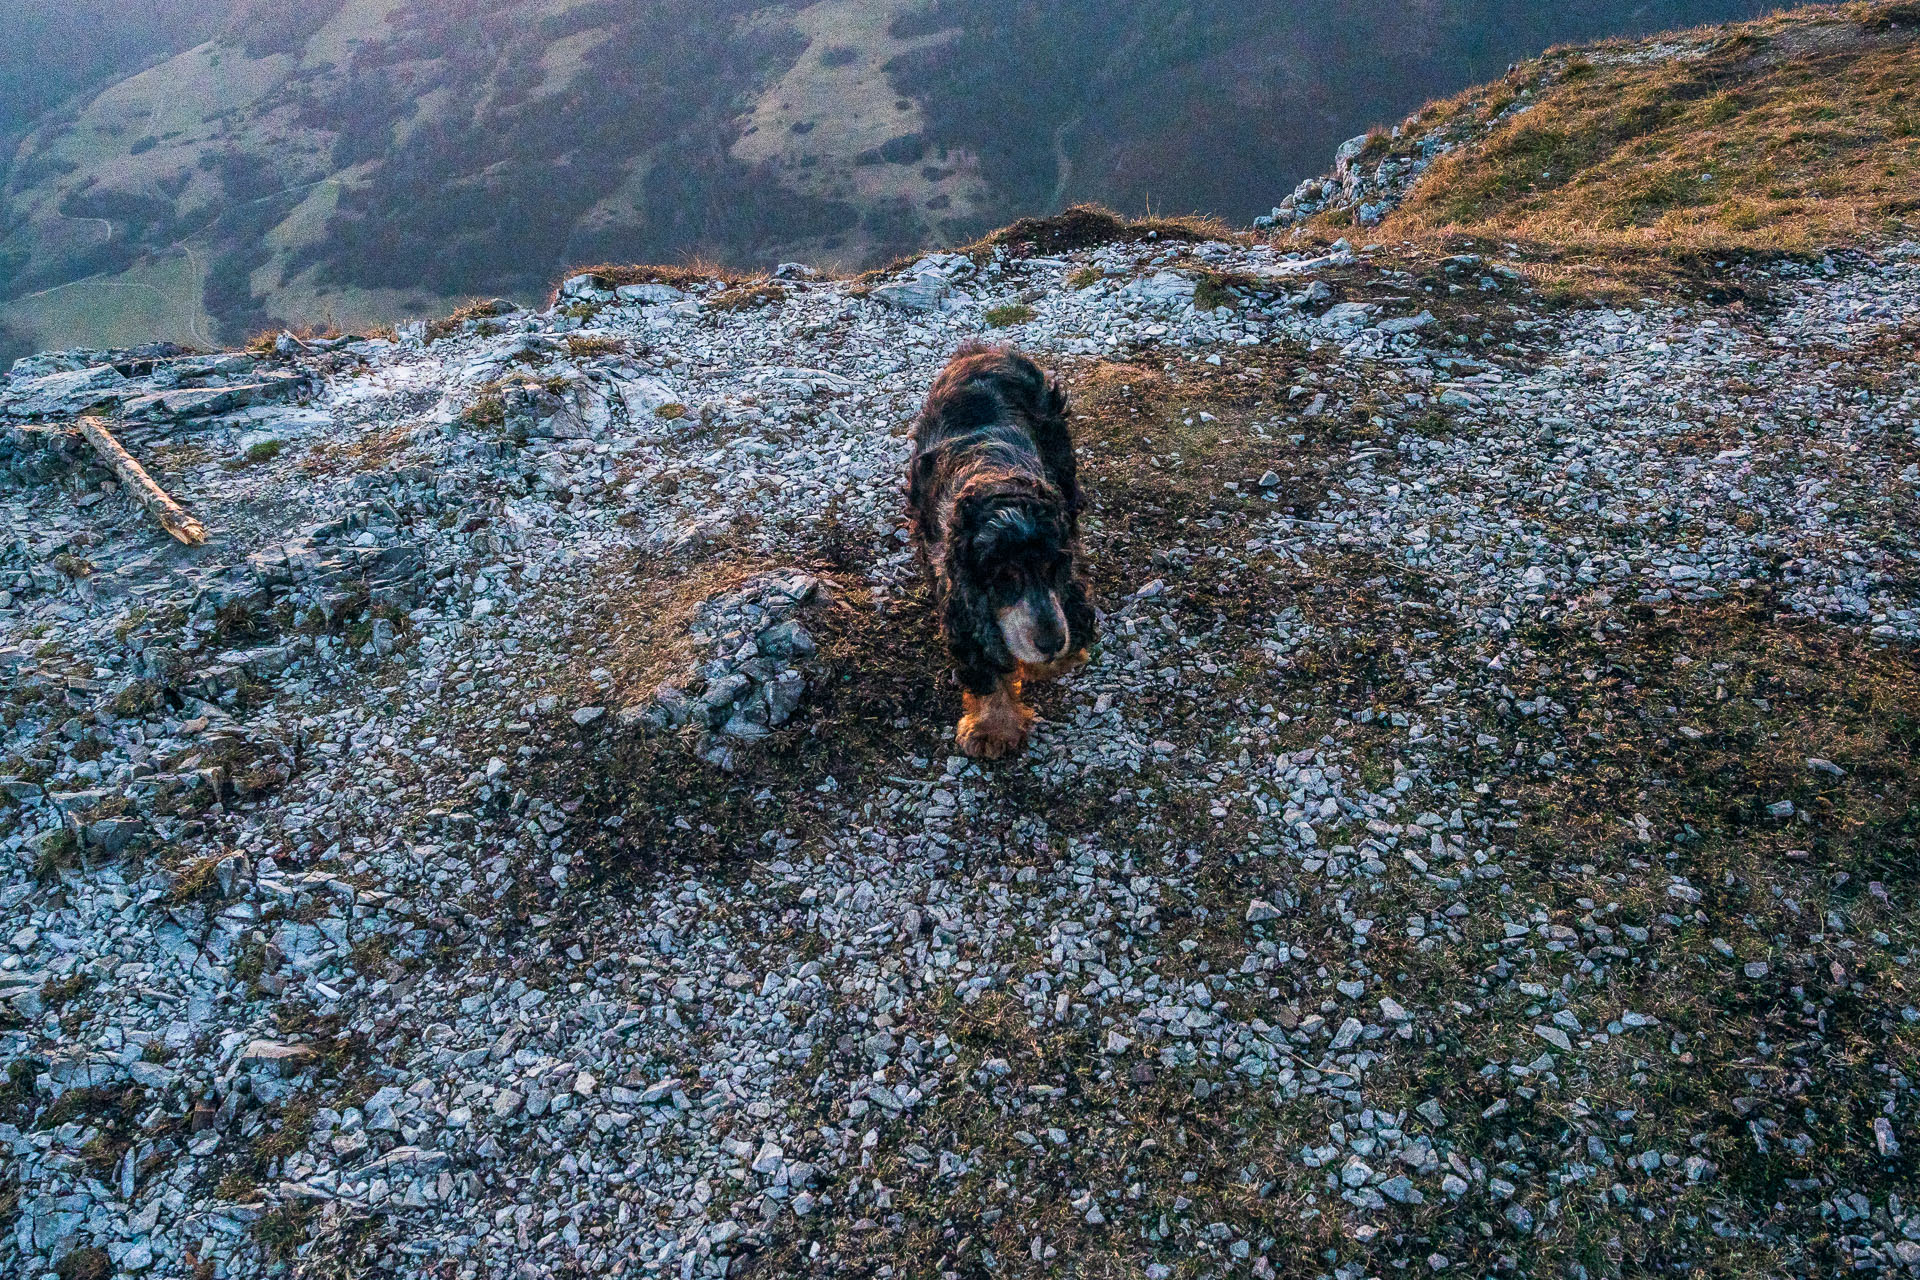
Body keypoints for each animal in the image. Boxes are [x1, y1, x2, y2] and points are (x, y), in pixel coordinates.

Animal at [910, 343, 1098, 759]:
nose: (1051, 644)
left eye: (1051, 568)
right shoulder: (957, 587)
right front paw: (992, 728)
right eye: (1004, 578)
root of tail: (983, 351)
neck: (996, 479)